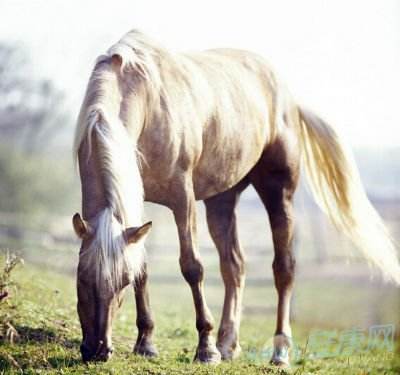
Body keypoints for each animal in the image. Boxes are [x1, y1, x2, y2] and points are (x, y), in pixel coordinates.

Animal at [72, 29, 400, 368]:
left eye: (121, 282)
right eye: (81, 277)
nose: (97, 349)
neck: (142, 95)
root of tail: (289, 100)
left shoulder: (182, 198)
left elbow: (192, 267)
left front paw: (205, 348)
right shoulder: (138, 207)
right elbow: (146, 268)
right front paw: (146, 343)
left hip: (279, 193)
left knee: (284, 268)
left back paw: (279, 352)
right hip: (222, 201)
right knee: (234, 266)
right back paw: (228, 343)